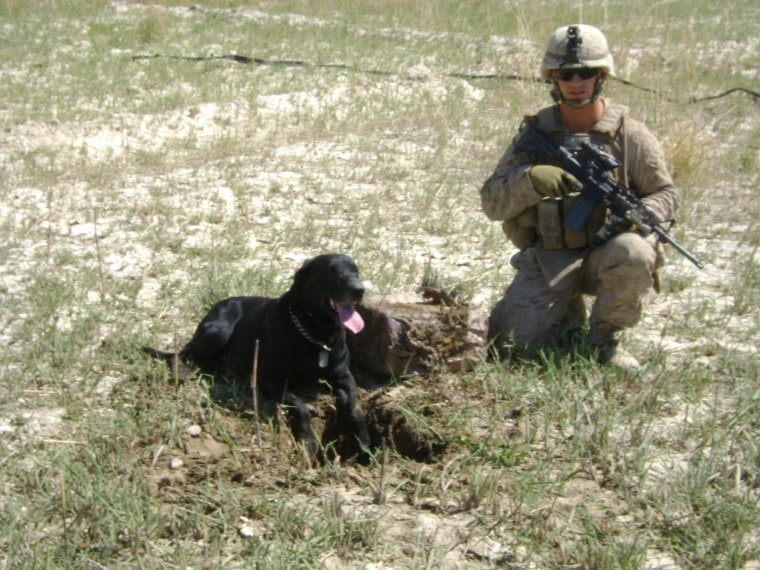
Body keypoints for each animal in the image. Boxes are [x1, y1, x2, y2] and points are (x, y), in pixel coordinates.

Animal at [145, 252, 372, 458]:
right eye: (331, 272)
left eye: (356, 271)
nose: (359, 290)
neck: (316, 334)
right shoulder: (268, 380)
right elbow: (300, 405)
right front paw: (307, 441)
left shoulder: (343, 375)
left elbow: (355, 407)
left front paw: (363, 442)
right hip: (219, 330)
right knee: (179, 354)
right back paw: (182, 370)